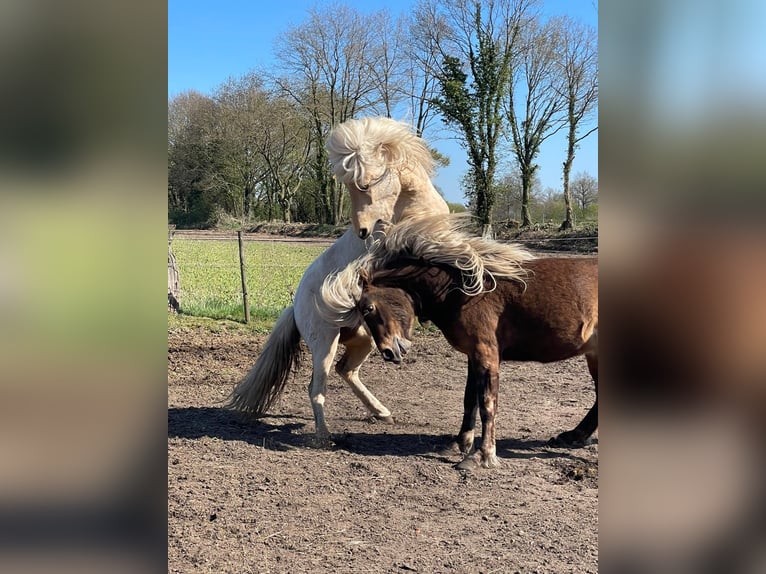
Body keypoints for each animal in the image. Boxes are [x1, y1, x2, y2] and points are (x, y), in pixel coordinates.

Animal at [225, 118, 449, 442]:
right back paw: (324, 435)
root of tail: (296, 306)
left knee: (347, 371)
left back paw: (382, 410)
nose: (363, 231)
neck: (411, 206)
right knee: (317, 387)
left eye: (365, 184)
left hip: (364, 339)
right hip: (325, 344)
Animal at [318, 214, 598, 470]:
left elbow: (487, 403)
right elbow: (469, 399)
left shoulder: (486, 353)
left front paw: (483, 456)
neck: (465, 289)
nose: (388, 352)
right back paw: (573, 436)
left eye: (368, 308)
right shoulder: (473, 355)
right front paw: (461, 443)